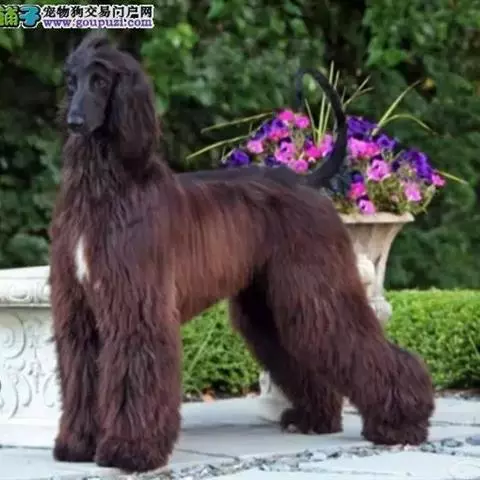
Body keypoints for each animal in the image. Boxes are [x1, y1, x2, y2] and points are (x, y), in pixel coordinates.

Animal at [49, 31, 435, 473]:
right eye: (72, 81)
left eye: (100, 82)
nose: (75, 122)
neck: (106, 189)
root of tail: (307, 181)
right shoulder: (79, 308)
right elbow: (81, 371)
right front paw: (78, 444)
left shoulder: (136, 303)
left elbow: (136, 368)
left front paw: (131, 450)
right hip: (270, 299)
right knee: (299, 347)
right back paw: (315, 418)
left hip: (314, 282)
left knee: (356, 340)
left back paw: (403, 422)